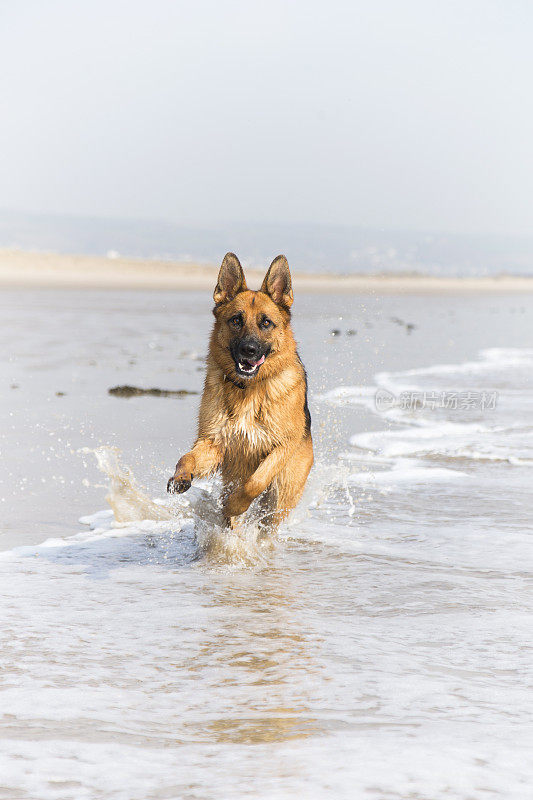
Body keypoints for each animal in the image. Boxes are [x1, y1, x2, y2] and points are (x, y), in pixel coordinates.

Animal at [167, 253, 312, 528]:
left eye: (266, 322)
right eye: (236, 320)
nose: (249, 350)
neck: (249, 389)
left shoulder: (282, 446)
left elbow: (255, 481)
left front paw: (235, 505)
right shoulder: (213, 443)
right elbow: (186, 458)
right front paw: (180, 477)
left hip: (282, 496)